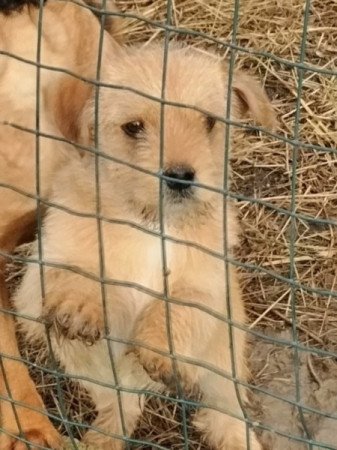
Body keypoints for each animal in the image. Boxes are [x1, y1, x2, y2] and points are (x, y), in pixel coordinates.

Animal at [13, 43, 276, 450]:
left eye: (209, 122)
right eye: (133, 127)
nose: (180, 177)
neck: (152, 223)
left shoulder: (208, 286)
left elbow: (180, 306)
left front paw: (160, 344)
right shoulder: (43, 267)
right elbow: (76, 271)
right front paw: (82, 303)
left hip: (224, 357)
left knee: (225, 406)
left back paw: (237, 437)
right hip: (91, 367)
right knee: (120, 405)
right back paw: (103, 438)